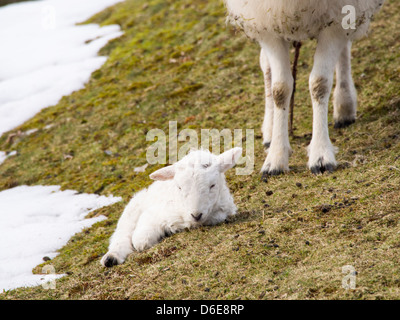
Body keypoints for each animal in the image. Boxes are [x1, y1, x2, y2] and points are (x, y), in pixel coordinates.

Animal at [101, 148, 242, 268]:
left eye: (212, 185)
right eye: (179, 187)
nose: (196, 215)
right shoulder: (155, 213)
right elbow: (140, 241)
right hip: (132, 210)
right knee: (121, 234)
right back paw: (110, 258)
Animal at [225, 0, 384, 175]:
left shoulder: (336, 20)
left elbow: (319, 84)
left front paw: (320, 154)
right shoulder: (268, 23)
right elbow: (280, 90)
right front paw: (276, 158)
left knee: (344, 47)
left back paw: (344, 105)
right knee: (265, 64)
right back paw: (270, 130)